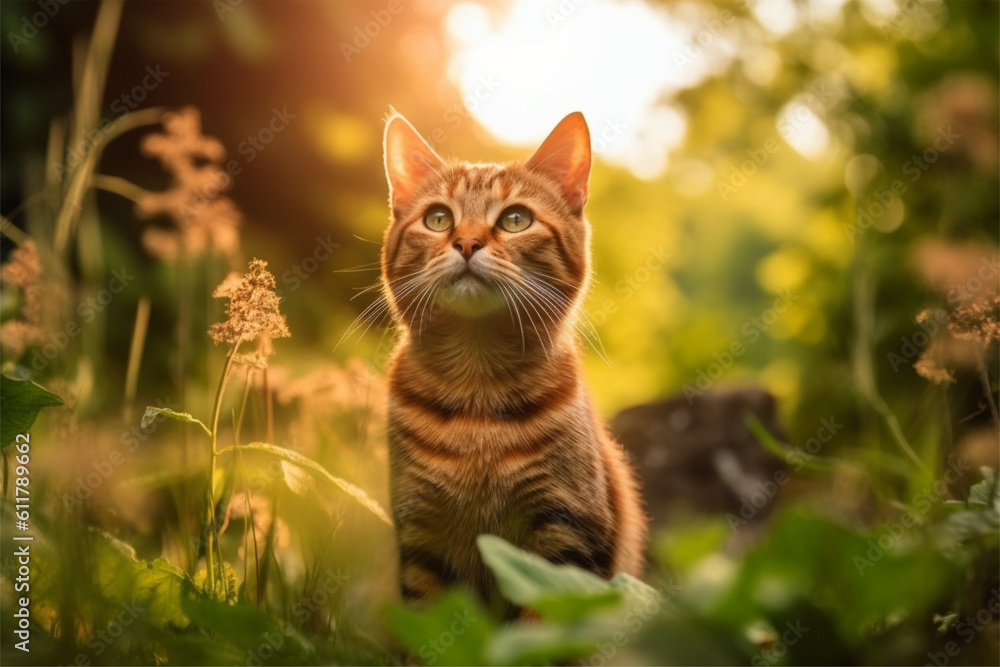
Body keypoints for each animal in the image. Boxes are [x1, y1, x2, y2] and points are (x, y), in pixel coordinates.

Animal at [376, 111, 648, 612]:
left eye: (515, 219)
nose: (466, 242)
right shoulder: (422, 539)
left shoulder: (564, 537)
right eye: (438, 218)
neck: (477, 396)